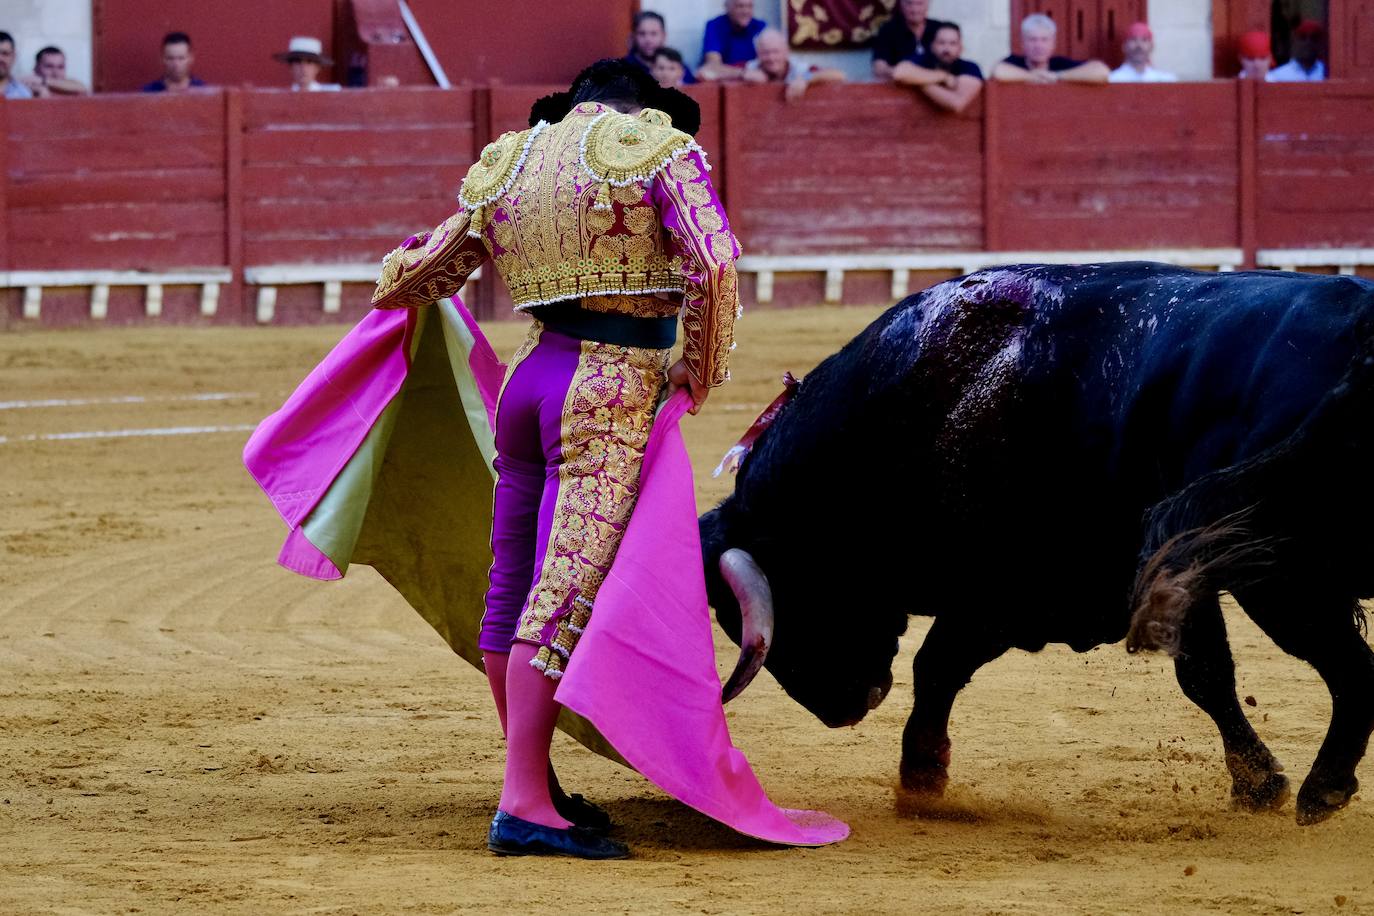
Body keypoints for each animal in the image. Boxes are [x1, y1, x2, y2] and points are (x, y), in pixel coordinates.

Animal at [703, 263, 1374, 823]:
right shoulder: (1166, 579)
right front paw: (1257, 785)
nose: (841, 709)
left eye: (791, 602)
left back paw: (1324, 789)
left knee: (1352, 668)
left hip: (1284, 575)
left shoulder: (1004, 592)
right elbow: (1207, 673)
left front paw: (922, 777)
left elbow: (936, 665)